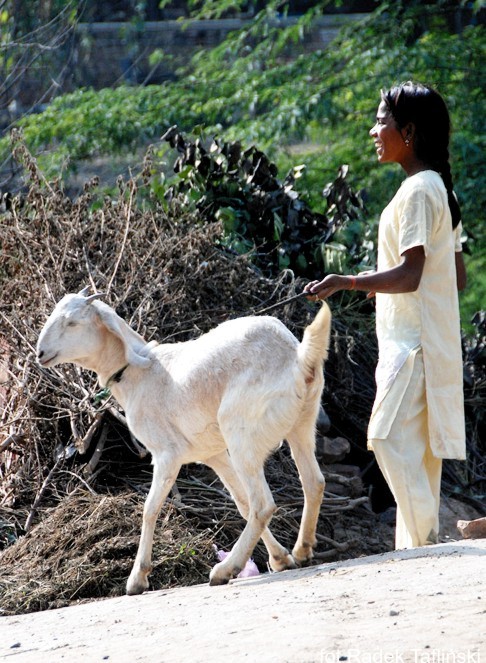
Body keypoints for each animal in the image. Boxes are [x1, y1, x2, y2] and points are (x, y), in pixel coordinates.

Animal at [37, 288, 330, 592]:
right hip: (301, 423)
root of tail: (297, 358)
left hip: (242, 433)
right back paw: (301, 550)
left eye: (72, 322)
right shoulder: (212, 454)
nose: (40, 354)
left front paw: (137, 578)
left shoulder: (166, 454)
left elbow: (150, 509)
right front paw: (280, 558)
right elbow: (241, 503)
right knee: (311, 482)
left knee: (264, 505)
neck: (139, 373)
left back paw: (224, 570)